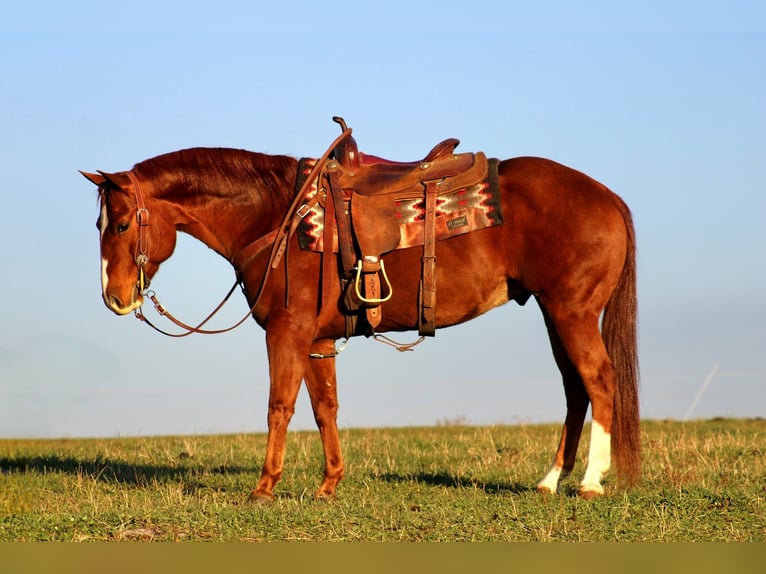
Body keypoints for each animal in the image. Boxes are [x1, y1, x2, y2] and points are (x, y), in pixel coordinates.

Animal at [81, 129, 639, 501]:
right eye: (99, 224)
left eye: (123, 223)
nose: (115, 297)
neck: (277, 217)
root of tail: (609, 196)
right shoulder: (317, 340)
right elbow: (324, 407)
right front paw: (329, 484)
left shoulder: (286, 332)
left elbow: (279, 405)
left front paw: (264, 488)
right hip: (553, 313)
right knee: (574, 389)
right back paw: (550, 480)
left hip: (571, 312)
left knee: (599, 380)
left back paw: (590, 482)